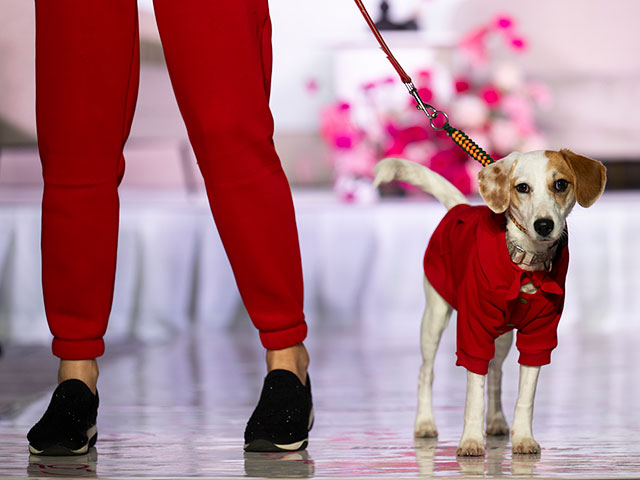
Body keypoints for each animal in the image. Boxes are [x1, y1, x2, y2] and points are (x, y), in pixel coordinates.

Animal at [372, 150, 608, 458]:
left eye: (561, 184)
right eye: (522, 187)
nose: (544, 225)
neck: (526, 263)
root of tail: (460, 208)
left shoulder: (539, 337)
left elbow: (525, 395)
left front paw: (524, 438)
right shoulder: (474, 332)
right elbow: (474, 393)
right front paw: (471, 441)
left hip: (503, 335)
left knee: (495, 373)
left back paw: (496, 420)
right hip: (434, 317)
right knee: (426, 371)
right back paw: (424, 423)